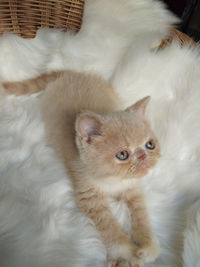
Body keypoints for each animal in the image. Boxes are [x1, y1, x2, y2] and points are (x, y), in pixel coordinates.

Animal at [2, 71, 160, 267]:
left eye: (150, 145)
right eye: (123, 154)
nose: (143, 157)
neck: (112, 181)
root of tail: (70, 73)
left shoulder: (132, 189)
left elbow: (141, 214)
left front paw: (147, 247)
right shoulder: (89, 197)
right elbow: (109, 227)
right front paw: (126, 254)